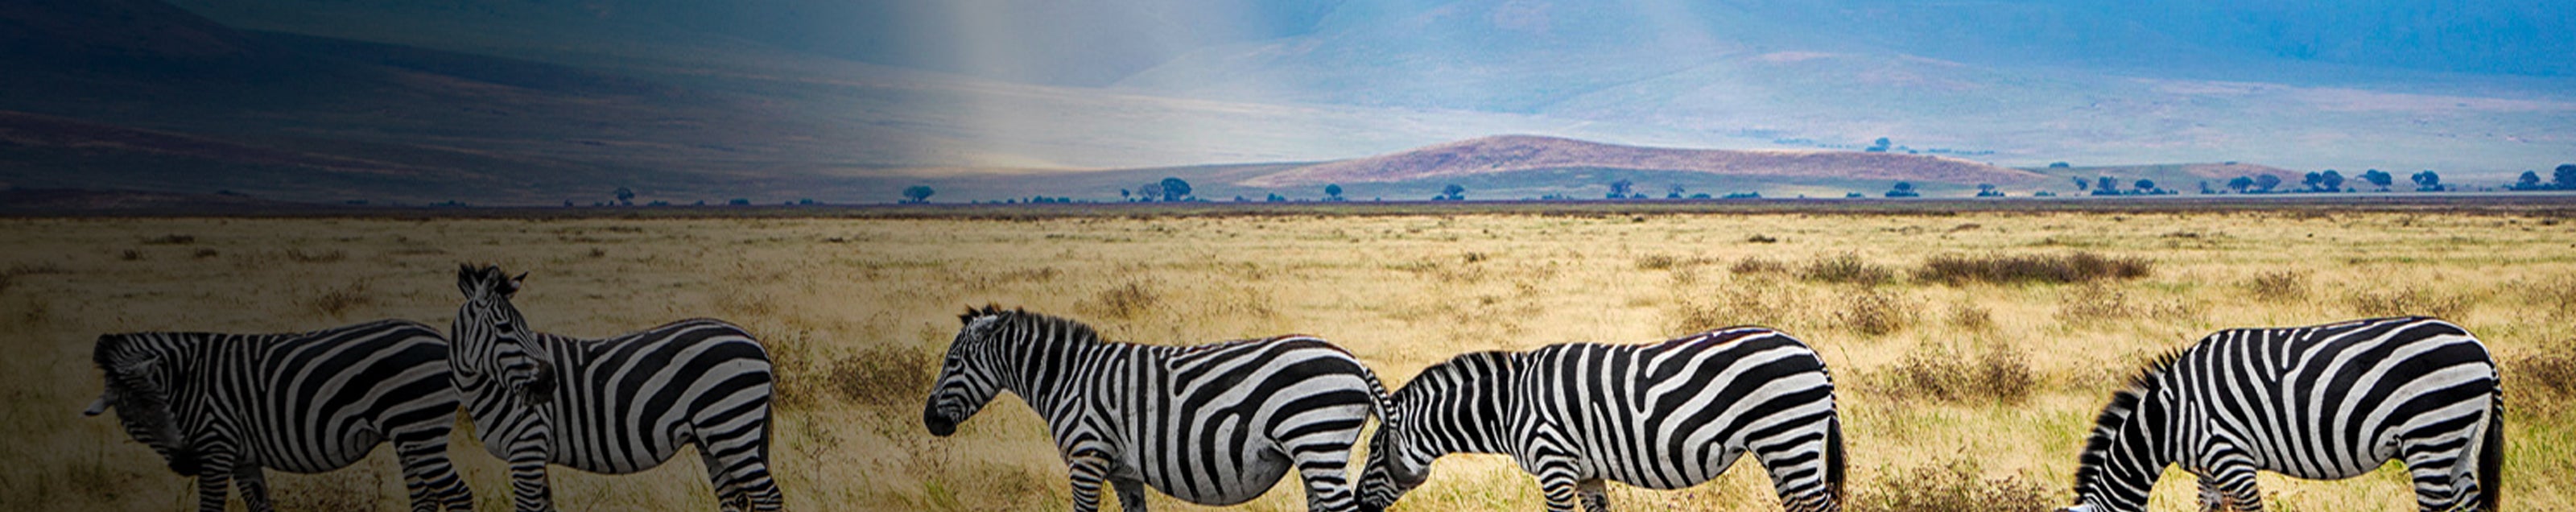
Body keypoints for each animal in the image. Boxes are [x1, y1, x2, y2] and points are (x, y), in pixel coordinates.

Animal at [83, 320, 477, 512]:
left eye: (164, 406)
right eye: (134, 419)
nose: (185, 462)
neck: (187, 380)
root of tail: (439, 338)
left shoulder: (216, 445)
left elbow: (211, 508)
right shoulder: (242, 457)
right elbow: (260, 506)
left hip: (419, 428)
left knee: (458, 495)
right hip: (409, 435)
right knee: (425, 497)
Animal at [453, 266, 778, 512]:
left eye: (523, 327)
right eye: (506, 328)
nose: (548, 383)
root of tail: (755, 341)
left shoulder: (527, 444)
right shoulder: (535, 453)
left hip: (730, 426)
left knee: (768, 495)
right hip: (712, 437)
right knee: (734, 498)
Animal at [927, 306, 1401, 509]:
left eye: (952, 363)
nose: (929, 420)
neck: (1068, 379)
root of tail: (1354, 361)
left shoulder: (1086, 458)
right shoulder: (1123, 472)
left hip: (1317, 441)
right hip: (1315, 455)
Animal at [1360, 325, 1844, 512]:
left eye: (1374, 449)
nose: (1359, 504)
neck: (1508, 405)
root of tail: (1811, 353)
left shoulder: (1554, 465)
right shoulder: (1588, 473)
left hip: (1788, 439)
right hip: (1780, 450)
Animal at [2061, 316, 2504, 512]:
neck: (2169, 418)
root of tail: (2479, 347)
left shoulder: (2231, 457)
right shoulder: (2208, 470)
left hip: (2430, 436)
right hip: (2458, 441)